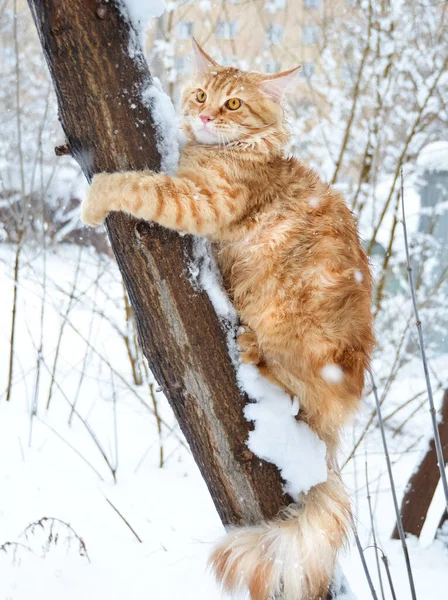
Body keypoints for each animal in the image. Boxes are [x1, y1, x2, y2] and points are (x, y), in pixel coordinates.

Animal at [81, 39, 374, 600]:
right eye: (200, 94)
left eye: (233, 104)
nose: (204, 114)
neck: (230, 152)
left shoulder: (201, 201)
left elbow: (138, 185)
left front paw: (95, 198)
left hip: (295, 328)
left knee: (295, 388)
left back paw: (252, 350)